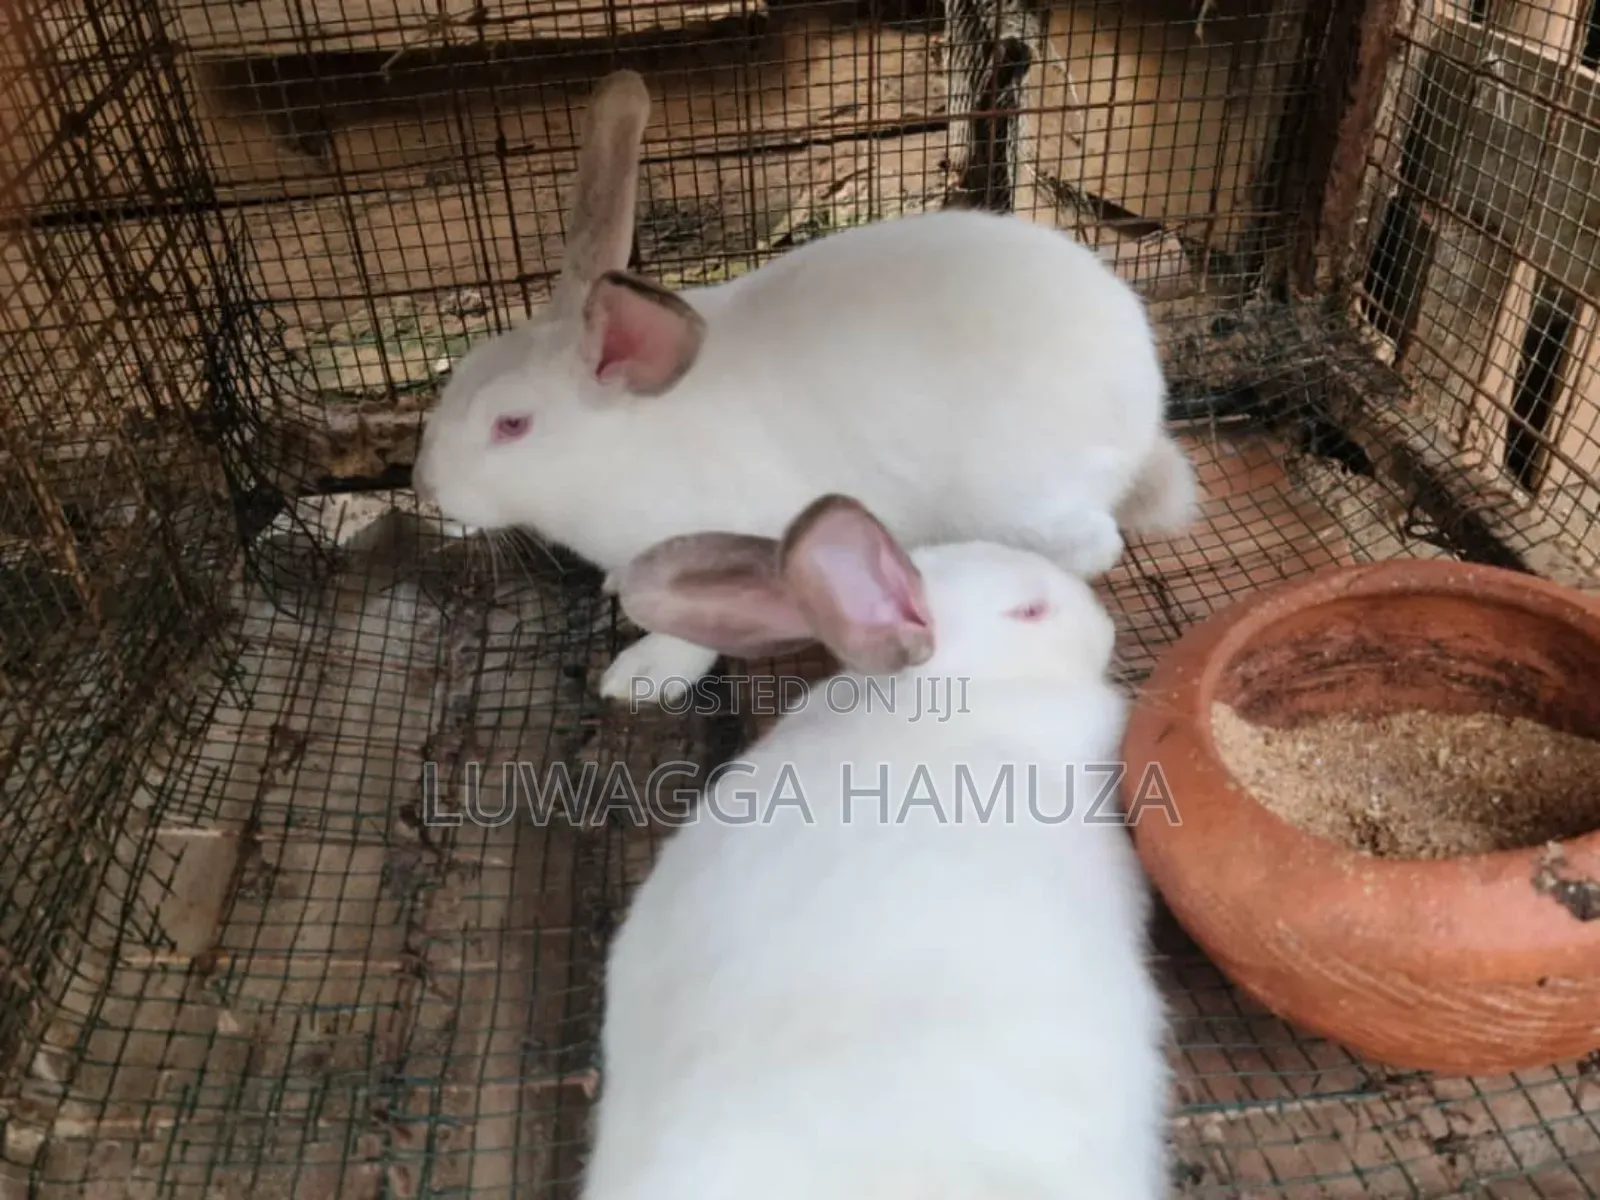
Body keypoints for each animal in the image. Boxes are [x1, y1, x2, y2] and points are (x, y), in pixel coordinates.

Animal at [409, 68, 1198, 709]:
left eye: (512, 425)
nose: (424, 487)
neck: (627, 444)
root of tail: (1143, 407)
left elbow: (687, 626)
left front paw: (642, 676)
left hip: (1016, 496)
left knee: (1093, 547)